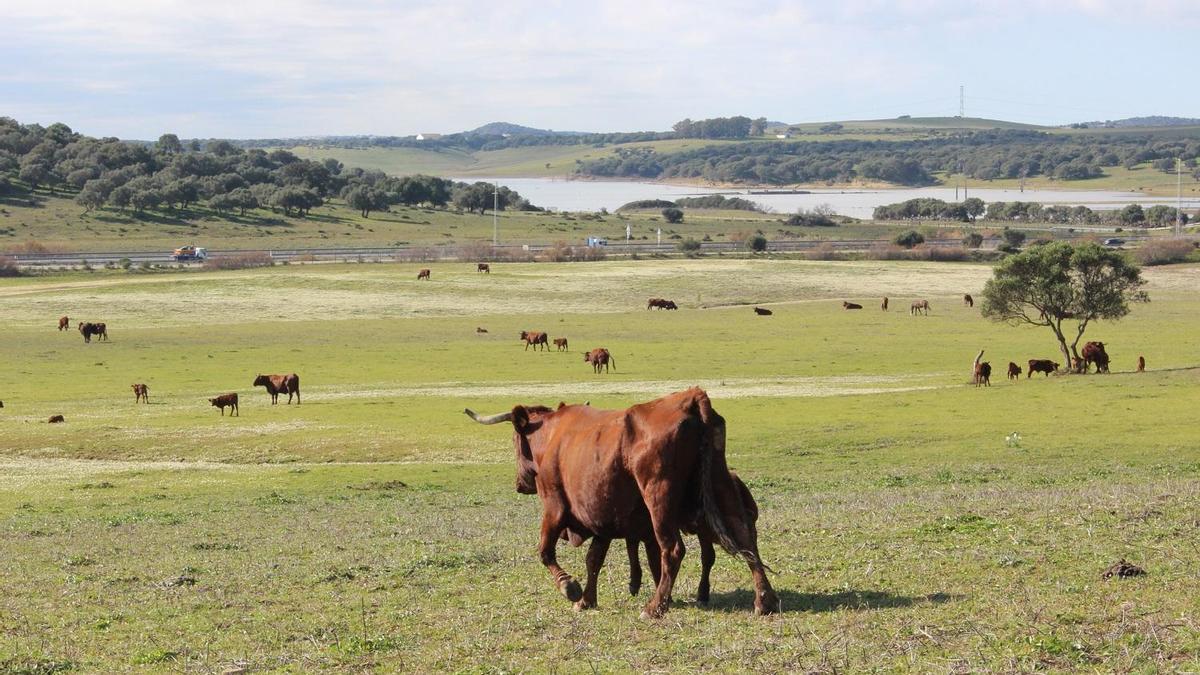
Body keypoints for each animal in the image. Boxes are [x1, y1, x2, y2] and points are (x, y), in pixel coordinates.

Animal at [463, 389, 782, 614]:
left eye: (515, 442)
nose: (519, 484)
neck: (552, 437)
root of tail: (691, 399)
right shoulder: (601, 518)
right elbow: (593, 559)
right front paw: (587, 599)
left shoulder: (554, 507)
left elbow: (545, 552)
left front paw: (571, 588)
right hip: (720, 484)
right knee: (746, 540)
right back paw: (764, 600)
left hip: (658, 498)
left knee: (673, 550)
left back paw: (655, 607)